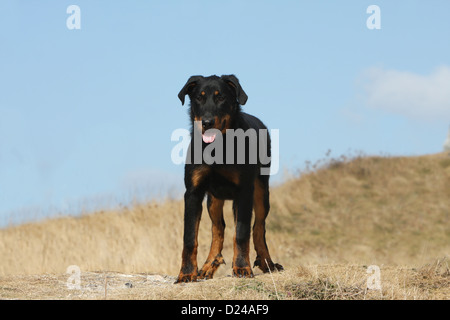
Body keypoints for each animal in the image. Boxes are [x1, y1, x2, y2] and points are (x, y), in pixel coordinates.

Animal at [175, 75, 282, 282]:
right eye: (199, 98)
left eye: (221, 97)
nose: (207, 122)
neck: (218, 148)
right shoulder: (193, 192)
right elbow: (189, 237)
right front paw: (186, 273)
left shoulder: (244, 191)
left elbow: (241, 233)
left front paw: (241, 267)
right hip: (213, 201)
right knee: (218, 228)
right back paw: (208, 265)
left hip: (261, 191)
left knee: (258, 227)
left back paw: (267, 263)